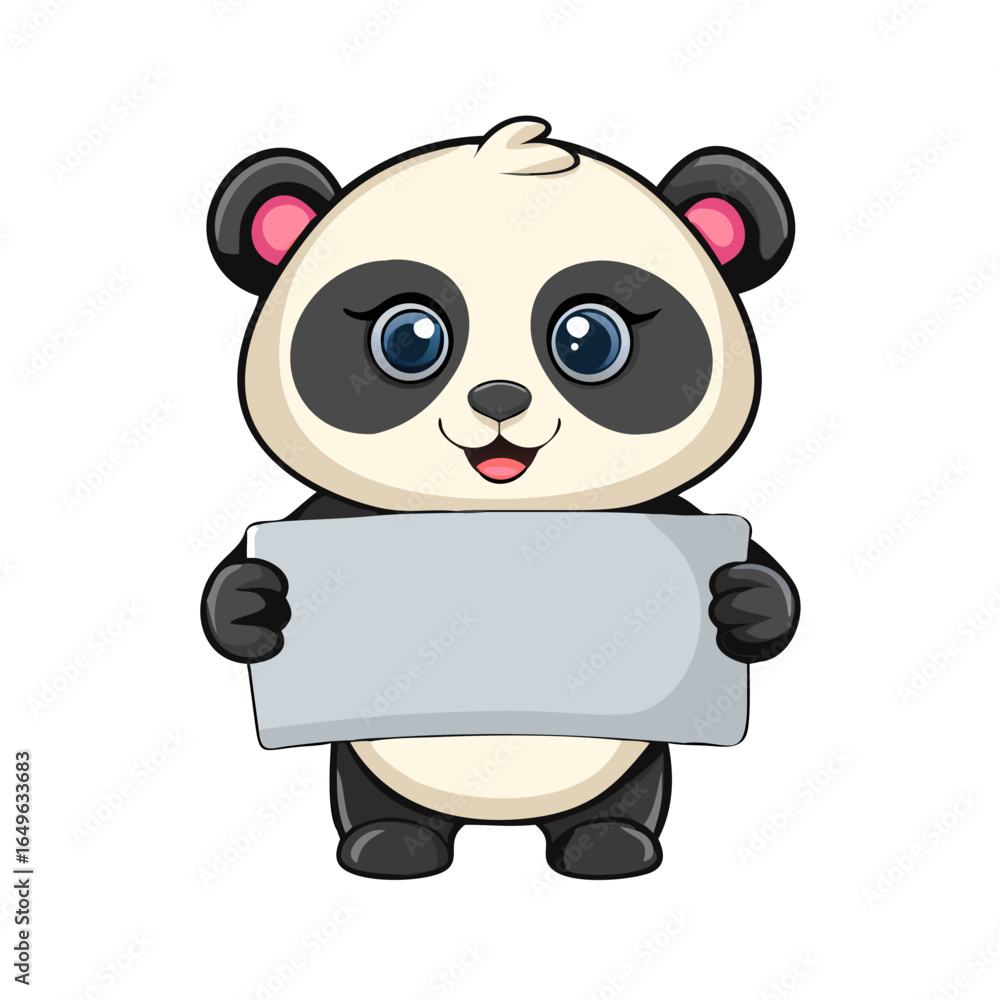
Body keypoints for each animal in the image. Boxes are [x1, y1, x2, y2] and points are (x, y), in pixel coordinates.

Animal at [201, 117, 800, 880]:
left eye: (588, 339)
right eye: (409, 337)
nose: (499, 399)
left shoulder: (667, 516)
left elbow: (765, 593)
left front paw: (743, 599)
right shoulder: (328, 516)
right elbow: (235, 593)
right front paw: (255, 601)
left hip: (629, 762)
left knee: (629, 794)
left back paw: (607, 844)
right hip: (370, 766)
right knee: (371, 795)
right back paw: (392, 844)